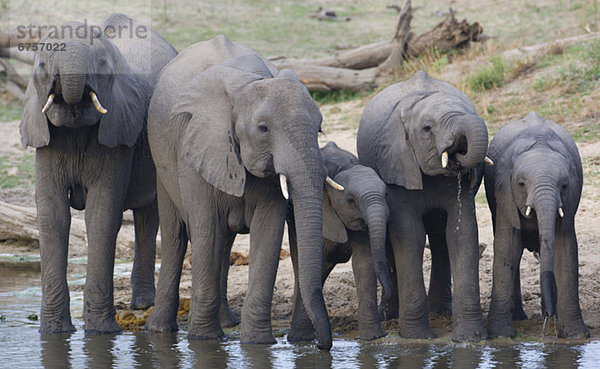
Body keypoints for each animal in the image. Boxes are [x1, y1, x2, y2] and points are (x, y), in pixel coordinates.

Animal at [19, 13, 178, 334]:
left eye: (103, 64)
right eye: (40, 65)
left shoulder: (117, 132)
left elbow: (101, 214)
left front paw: (101, 332)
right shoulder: (46, 140)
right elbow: (53, 215)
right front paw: (53, 332)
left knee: (148, 216)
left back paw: (143, 304)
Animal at [144, 34, 336, 348]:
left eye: (319, 129)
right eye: (263, 129)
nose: (321, 345)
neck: (246, 84)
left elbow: (268, 232)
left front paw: (257, 343)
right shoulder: (195, 145)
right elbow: (206, 228)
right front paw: (203, 340)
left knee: (224, 240)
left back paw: (226, 322)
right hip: (161, 158)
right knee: (177, 235)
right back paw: (160, 330)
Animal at [288, 140, 392, 340]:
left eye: (386, 195)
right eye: (351, 201)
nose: (388, 297)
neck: (345, 167)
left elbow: (364, 264)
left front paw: (373, 338)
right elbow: (317, 265)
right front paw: (302, 340)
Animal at [356, 69, 488, 342]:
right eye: (427, 128)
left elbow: (461, 235)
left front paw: (471, 339)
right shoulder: (396, 165)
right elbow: (410, 236)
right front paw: (418, 337)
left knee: (440, 240)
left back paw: (441, 312)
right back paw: (391, 316)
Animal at [486, 110, 588, 338]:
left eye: (564, 185)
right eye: (521, 184)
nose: (550, 316)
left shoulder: (570, 200)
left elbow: (565, 250)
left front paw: (576, 335)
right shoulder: (504, 194)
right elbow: (507, 248)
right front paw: (501, 335)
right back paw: (519, 317)